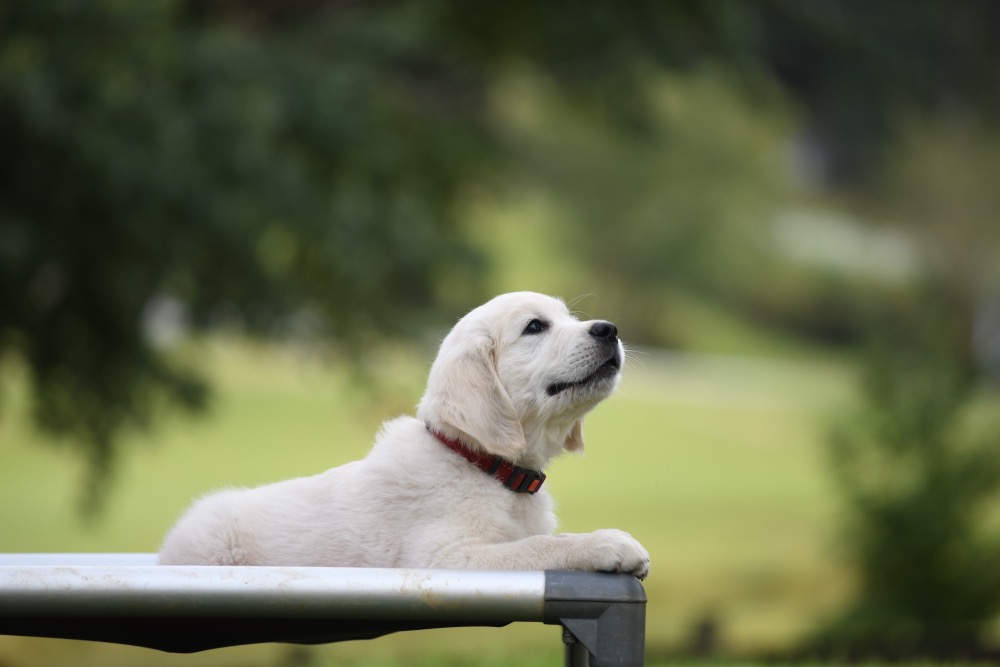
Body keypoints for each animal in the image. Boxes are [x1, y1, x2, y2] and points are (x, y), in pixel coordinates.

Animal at [158, 292, 648, 580]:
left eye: (568, 317)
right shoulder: (446, 557)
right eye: (534, 327)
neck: (484, 465)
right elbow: (537, 546)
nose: (609, 329)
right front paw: (607, 544)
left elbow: (543, 539)